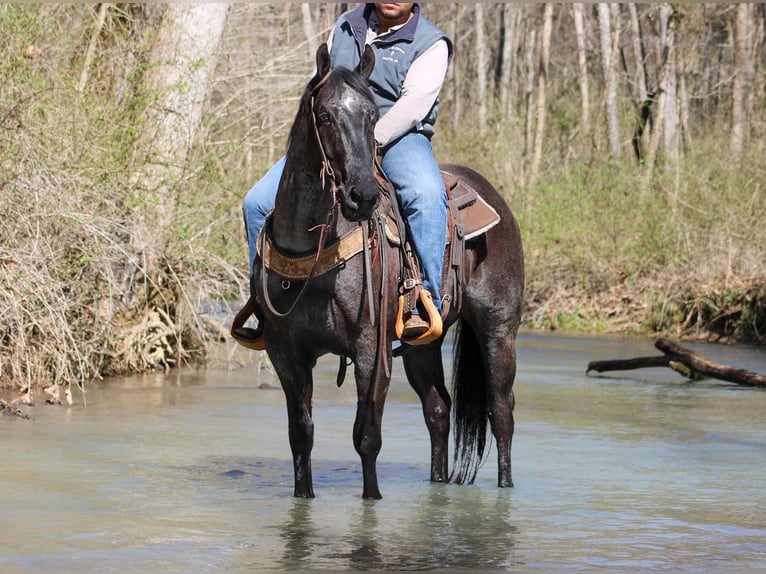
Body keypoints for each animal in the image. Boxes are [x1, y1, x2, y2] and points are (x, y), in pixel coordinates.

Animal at [255, 45, 524, 502]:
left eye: (371, 116)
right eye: (325, 115)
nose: (361, 196)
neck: (312, 256)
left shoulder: (371, 350)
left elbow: (367, 437)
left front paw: (373, 501)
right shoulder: (286, 356)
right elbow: (301, 436)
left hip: (498, 331)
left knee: (500, 412)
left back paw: (506, 488)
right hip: (422, 345)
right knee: (438, 410)